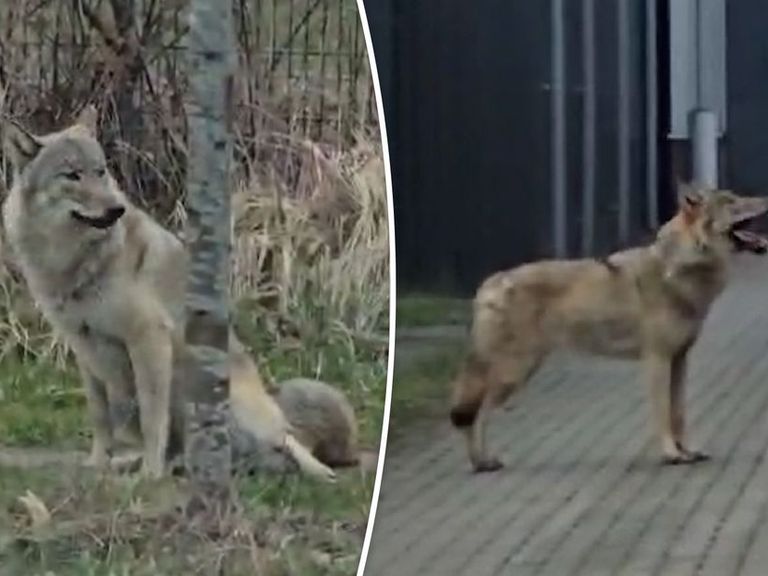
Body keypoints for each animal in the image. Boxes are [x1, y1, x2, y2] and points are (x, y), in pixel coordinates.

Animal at [1, 108, 336, 481]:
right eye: (72, 175)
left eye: (100, 171)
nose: (115, 210)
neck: (72, 261)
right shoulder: (84, 348)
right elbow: (100, 418)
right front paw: (99, 464)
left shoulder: (148, 339)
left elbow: (152, 418)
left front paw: (149, 475)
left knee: (273, 447)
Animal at [449, 183, 768, 472]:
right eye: (732, 202)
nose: (766, 197)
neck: (681, 267)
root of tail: (489, 284)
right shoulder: (657, 360)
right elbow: (662, 413)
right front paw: (670, 454)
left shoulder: (679, 360)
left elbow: (679, 413)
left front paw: (686, 451)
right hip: (515, 373)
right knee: (477, 415)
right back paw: (483, 462)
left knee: (471, 415)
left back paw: (480, 462)